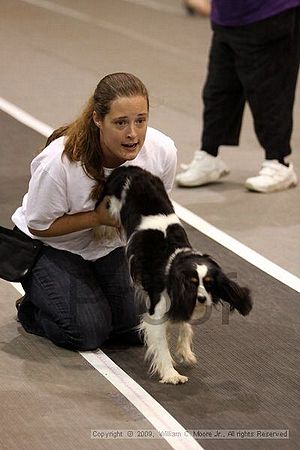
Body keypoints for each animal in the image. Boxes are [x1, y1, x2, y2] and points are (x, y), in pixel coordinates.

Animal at [95, 165, 251, 384]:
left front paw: (185, 352)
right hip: (110, 203)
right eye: (192, 282)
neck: (176, 260)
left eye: (209, 283)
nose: (202, 299)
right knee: (102, 215)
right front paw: (171, 374)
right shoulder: (156, 311)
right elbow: (161, 345)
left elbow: (184, 325)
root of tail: (132, 169)